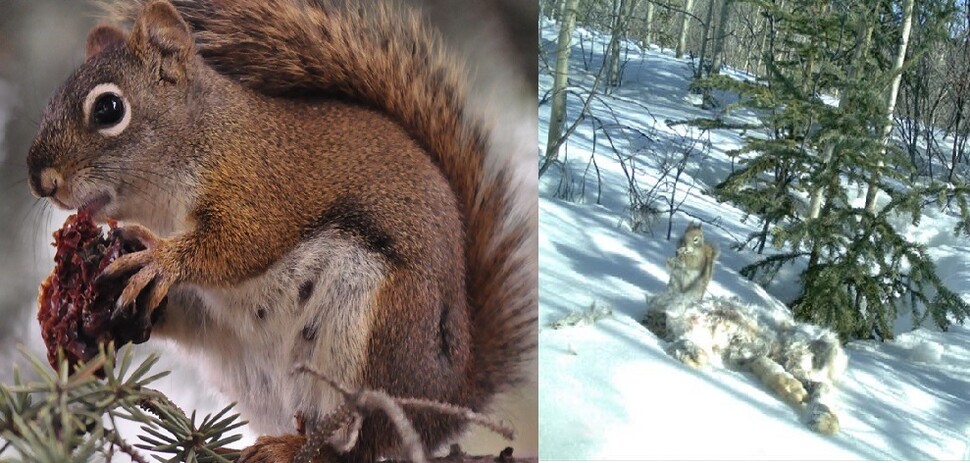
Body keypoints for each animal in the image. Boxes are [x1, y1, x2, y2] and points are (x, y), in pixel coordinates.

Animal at [24, 1, 536, 462]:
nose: (41, 181)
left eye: (109, 109)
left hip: (375, 335)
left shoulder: (262, 185)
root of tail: (447, 403)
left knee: (360, 444)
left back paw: (296, 449)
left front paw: (159, 259)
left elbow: (243, 242)